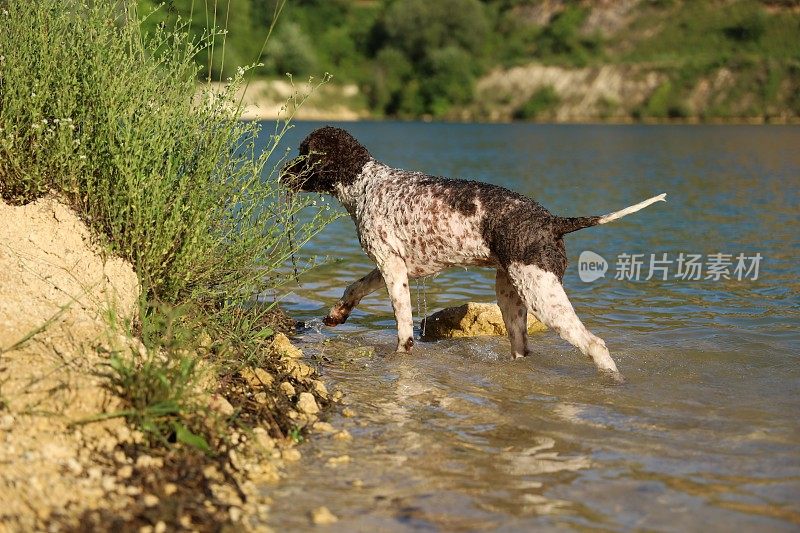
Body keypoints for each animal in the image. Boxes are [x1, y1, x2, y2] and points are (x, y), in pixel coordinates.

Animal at [278, 126, 664, 376]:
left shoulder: (392, 268)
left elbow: (403, 329)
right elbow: (353, 287)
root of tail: (553, 221)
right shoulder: (393, 265)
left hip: (543, 295)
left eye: (303, 153)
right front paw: (336, 315)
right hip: (511, 296)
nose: (281, 173)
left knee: (595, 344)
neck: (366, 183)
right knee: (523, 350)